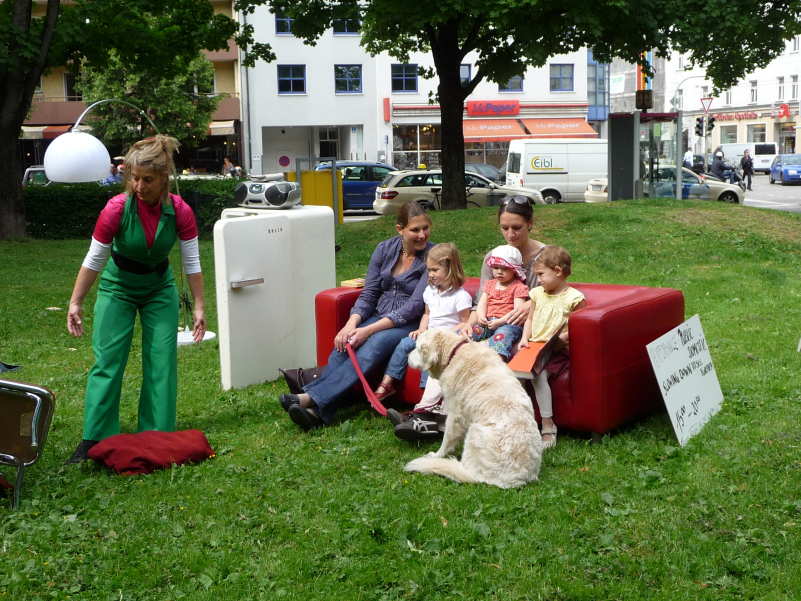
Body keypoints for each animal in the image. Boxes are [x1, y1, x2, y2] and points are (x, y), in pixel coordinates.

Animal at [404, 328, 540, 488]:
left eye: (417, 349)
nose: (407, 356)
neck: (454, 353)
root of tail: (521, 478)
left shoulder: (455, 415)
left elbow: (447, 440)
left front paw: (437, 454)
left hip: (475, 431)